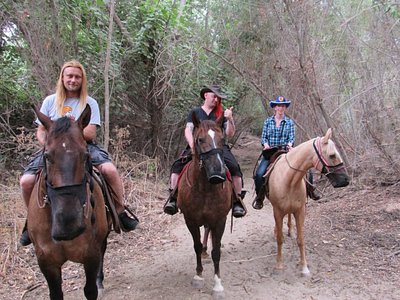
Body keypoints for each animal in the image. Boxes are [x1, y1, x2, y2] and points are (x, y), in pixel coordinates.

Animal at [26, 104, 109, 298]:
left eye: (85, 155)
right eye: (47, 156)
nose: (68, 223)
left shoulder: (91, 254)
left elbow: (90, 290)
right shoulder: (46, 261)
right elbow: (56, 293)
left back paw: (100, 280)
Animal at [177, 112, 233, 298]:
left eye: (222, 139)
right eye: (200, 139)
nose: (217, 174)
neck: (205, 189)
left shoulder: (220, 220)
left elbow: (217, 252)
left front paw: (218, 285)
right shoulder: (190, 220)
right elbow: (196, 246)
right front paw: (198, 276)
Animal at [266, 127, 350, 276]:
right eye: (332, 155)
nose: (346, 180)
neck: (289, 180)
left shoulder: (300, 211)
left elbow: (301, 240)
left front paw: (304, 267)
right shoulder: (278, 211)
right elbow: (280, 239)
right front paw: (279, 265)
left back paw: (290, 230)